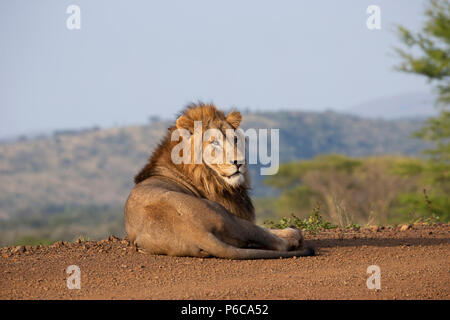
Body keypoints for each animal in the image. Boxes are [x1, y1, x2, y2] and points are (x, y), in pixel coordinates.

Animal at [123, 104, 312, 258]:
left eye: (235, 139)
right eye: (214, 143)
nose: (240, 162)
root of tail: (196, 232)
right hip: (227, 215)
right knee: (273, 240)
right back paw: (293, 234)